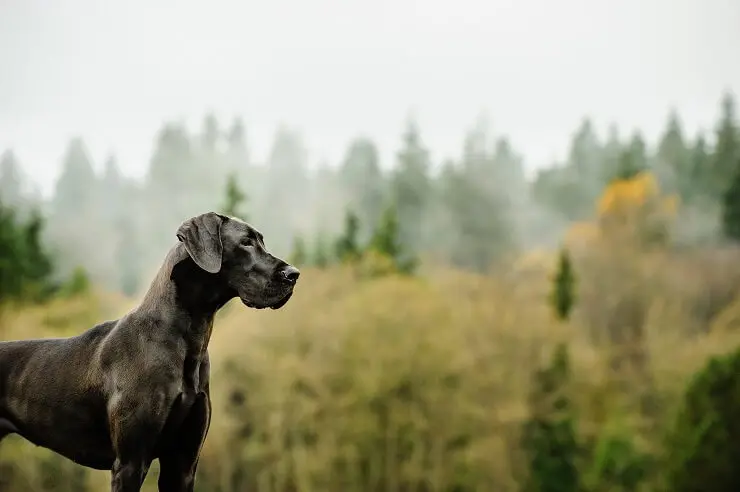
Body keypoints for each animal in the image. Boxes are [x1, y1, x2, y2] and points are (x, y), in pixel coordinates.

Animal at [0, 212, 300, 492]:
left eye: (261, 241)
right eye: (246, 242)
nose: (294, 274)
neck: (187, 339)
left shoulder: (182, 464)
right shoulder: (131, 462)